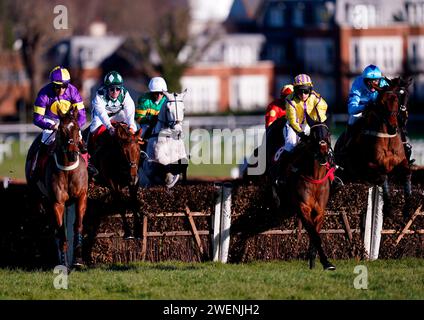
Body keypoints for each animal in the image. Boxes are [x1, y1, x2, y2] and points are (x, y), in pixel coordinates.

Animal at [25, 109, 88, 268]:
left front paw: (78, 258)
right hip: (39, 199)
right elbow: (61, 232)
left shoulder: (81, 197)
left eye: (77, 128)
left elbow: (78, 225)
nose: (72, 154)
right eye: (61, 130)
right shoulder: (57, 202)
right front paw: (64, 262)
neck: (68, 170)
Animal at [276, 114, 336, 270]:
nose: (323, 155)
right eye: (314, 135)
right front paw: (325, 262)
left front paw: (319, 262)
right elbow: (315, 236)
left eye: (328, 133)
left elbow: (315, 235)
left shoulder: (320, 211)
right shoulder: (303, 208)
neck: (315, 177)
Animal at [332, 78, 412, 218]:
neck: (387, 138)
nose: (393, 127)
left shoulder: (402, 161)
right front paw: (388, 207)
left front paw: (408, 207)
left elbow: (407, 173)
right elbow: (383, 177)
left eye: (397, 99)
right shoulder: (370, 165)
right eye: (381, 103)